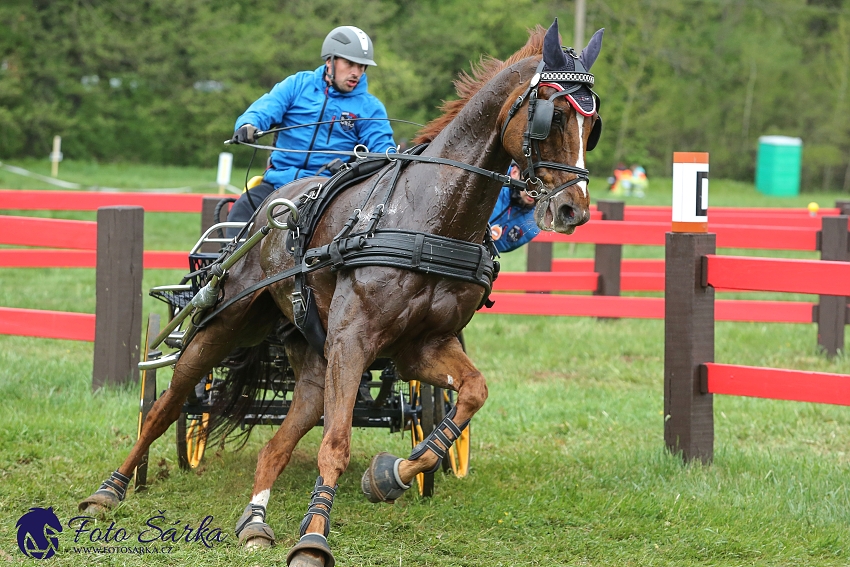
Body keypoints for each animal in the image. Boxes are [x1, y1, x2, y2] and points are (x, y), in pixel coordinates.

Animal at [76, 17, 600, 567]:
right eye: (553, 114)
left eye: (593, 125)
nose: (573, 209)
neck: (427, 220)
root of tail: (268, 213)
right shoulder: (354, 340)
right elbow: (336, 444)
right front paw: (314, 537)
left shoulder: (421, 347)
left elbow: (472, 393)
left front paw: (391, 475)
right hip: (223, 326)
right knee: (167, 404)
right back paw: (109, 491)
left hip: (312, 358)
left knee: (278, 442)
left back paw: (255, 522)